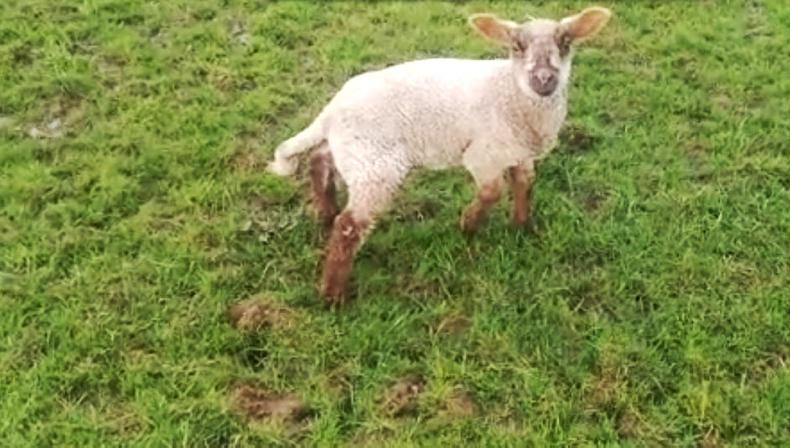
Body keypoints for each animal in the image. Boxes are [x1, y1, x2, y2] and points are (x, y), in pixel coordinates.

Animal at [268, 7, 612, 303]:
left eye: (565, 43)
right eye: (517, 46)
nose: (543, 80)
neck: (513, 96)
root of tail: (331, 109)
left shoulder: (518, 150)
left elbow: (525, 182)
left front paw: (521, 226)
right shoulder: (484, 154)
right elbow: (493, 190)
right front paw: (468, 225)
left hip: (356, 152)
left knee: (320, 160)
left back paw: (325, 213)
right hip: (376, 166)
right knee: (350, 225)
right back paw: (332, 294)